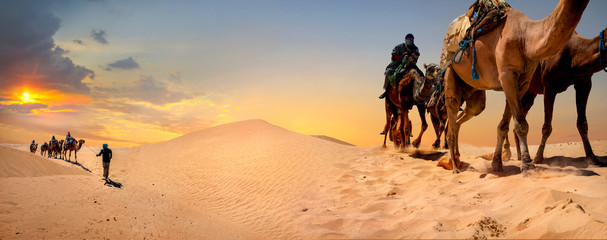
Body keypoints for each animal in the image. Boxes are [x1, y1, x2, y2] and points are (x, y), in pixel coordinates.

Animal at [502, 27, 607, 167]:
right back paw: (507, 155)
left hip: (530, 93)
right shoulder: (549, 87)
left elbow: (582, 123)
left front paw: (592, 158)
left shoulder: (584, 82)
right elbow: (546, 127)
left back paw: (519, 156)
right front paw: (537, 158)